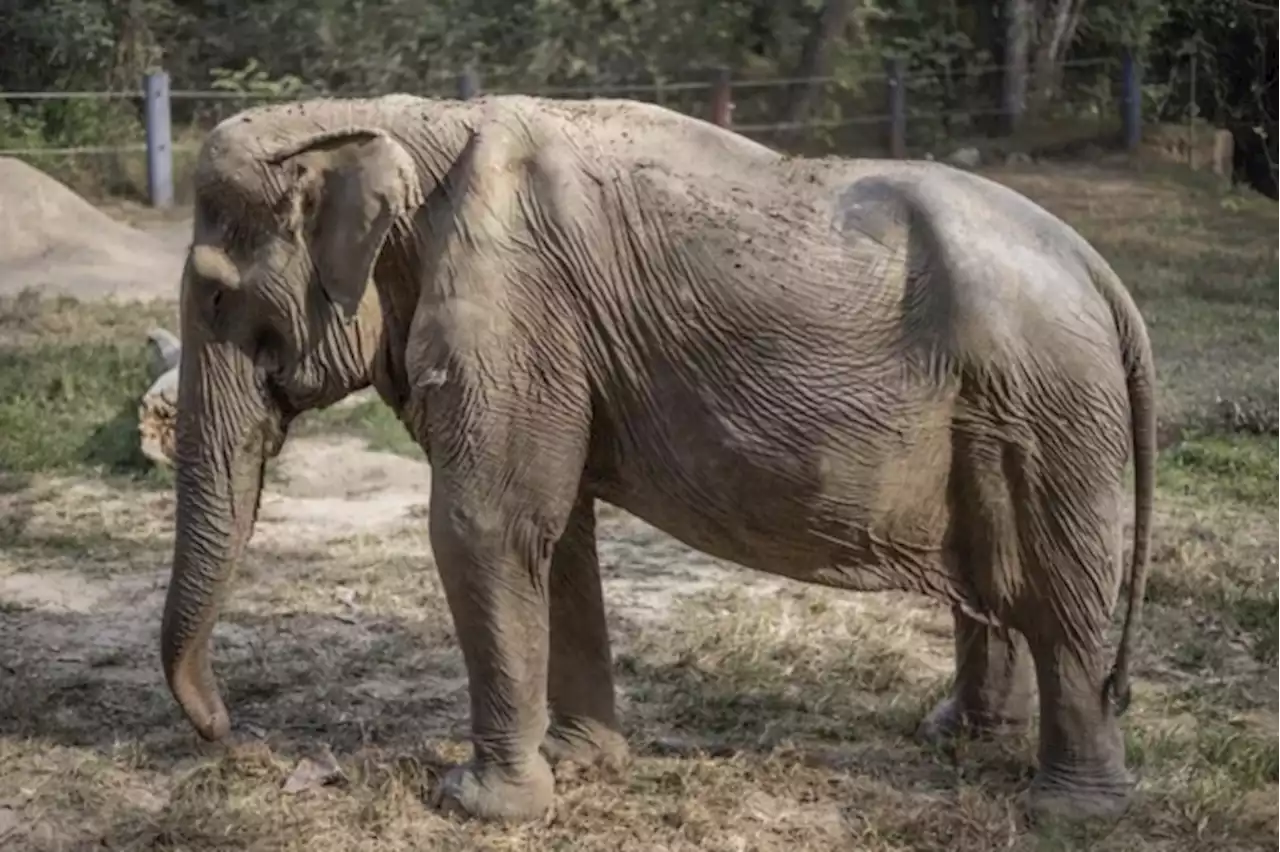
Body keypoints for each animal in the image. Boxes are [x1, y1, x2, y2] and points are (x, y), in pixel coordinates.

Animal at [162, 91, 1162, 823]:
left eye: (214, 299)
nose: (229, 732)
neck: (400, 122)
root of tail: (1105, 278)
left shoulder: (514, 306)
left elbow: (485, 525)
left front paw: (481, 807)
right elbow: (555, 533)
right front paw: (579, 763)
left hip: (1052, 409)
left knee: (1062, 598)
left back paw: (1072, 813)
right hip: (1010, 411)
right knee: (1000, 580)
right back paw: (956, 739)